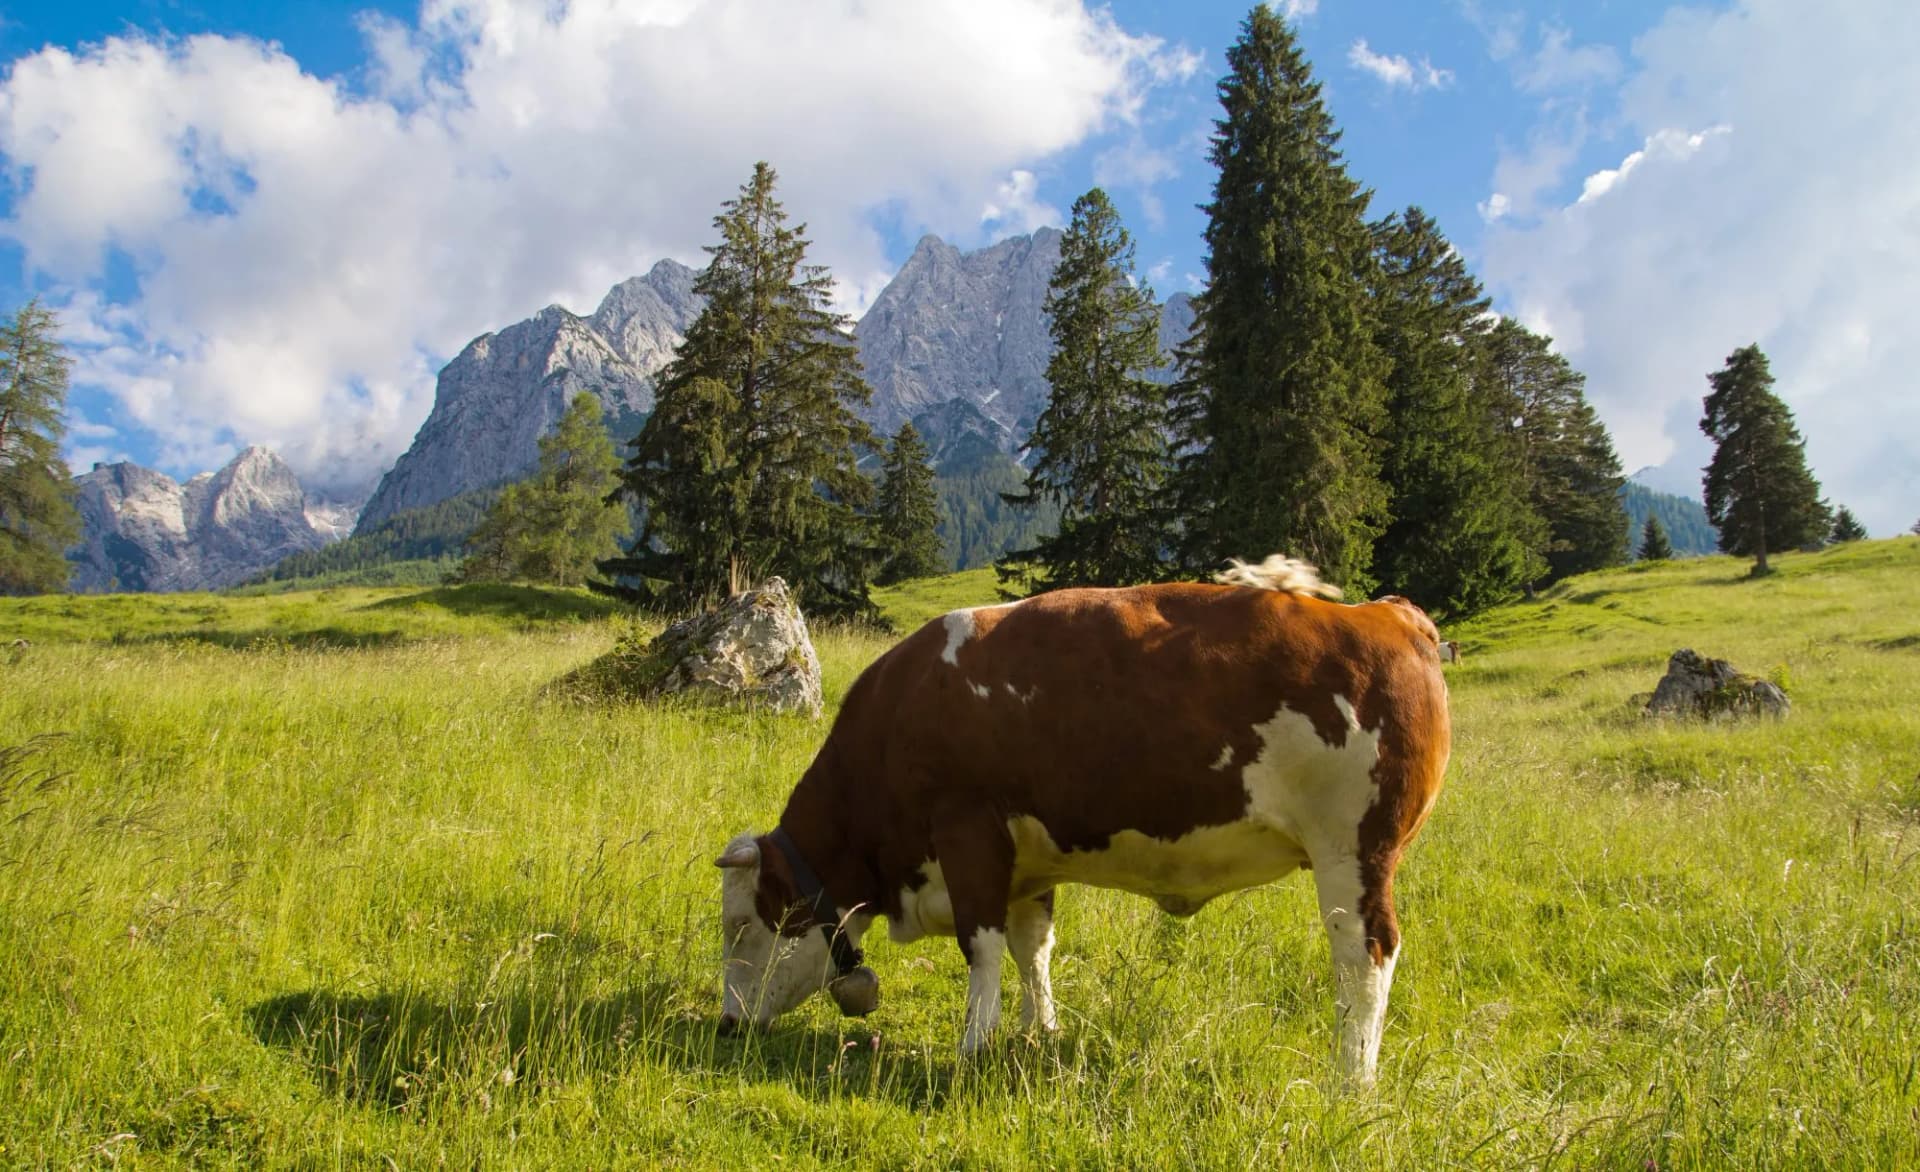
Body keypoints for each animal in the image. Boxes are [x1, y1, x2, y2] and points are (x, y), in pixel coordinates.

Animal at [715, 555, 1451, 1086]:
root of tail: (1387, 614)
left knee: (1365, 955)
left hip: (1353, 853)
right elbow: (1032, 947)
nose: (726, 1025)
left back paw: (1350, 1078)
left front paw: (973, 1046)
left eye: (742, 925)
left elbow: (981, 949)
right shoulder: (1027, 860)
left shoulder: (968, 834)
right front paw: (1039, 1030)